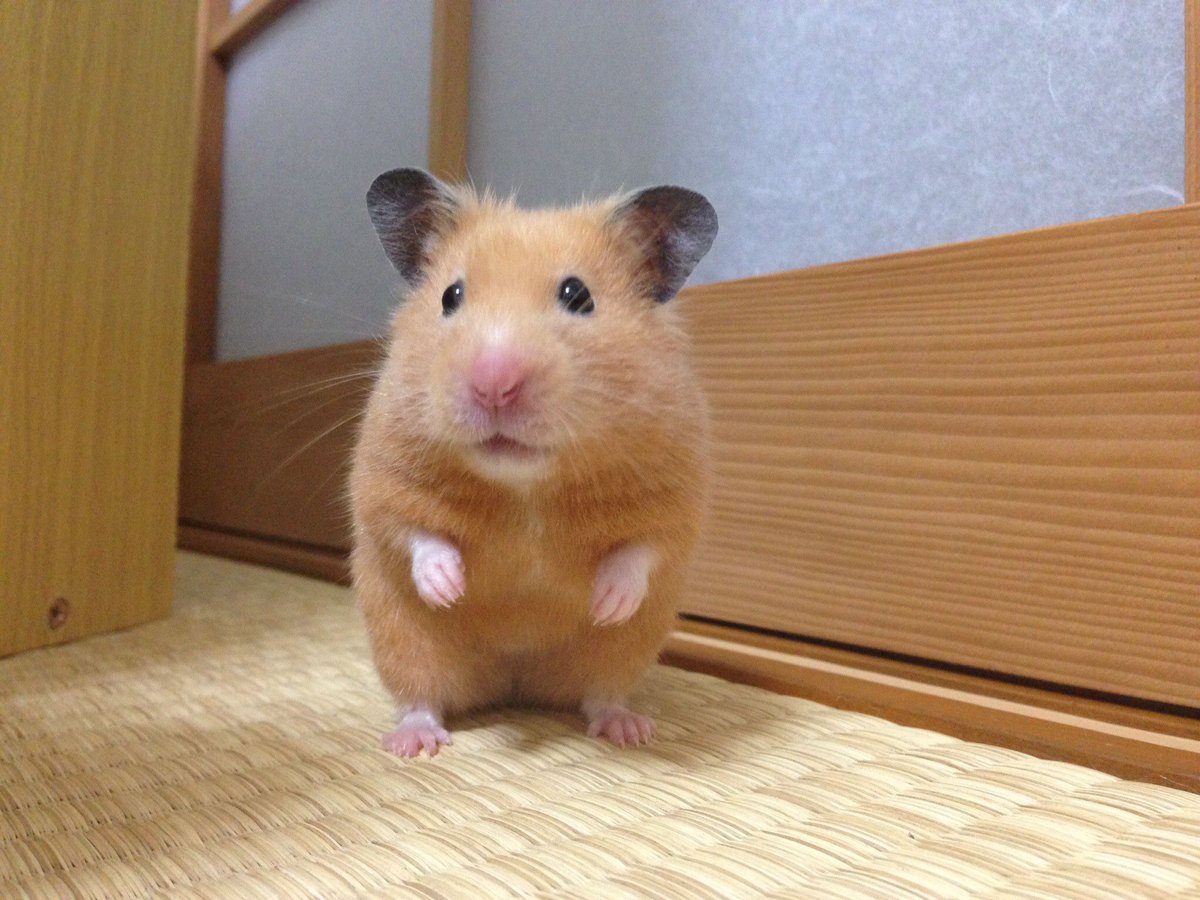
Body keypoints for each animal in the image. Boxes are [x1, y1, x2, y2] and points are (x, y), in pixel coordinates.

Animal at [350, 168, 717, 757]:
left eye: (578, 295)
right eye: (451, 296)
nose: (493, 384)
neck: (527, 485)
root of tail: (516, 683)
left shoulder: (678, 496)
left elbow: (641, 549)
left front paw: (607, 602)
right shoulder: (382, 480)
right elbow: (414, 533)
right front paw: (448, 588)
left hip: (618, 656)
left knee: (601, 694)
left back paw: (629, 731)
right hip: (405, 642)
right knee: (421, 695)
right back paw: (414, 743)